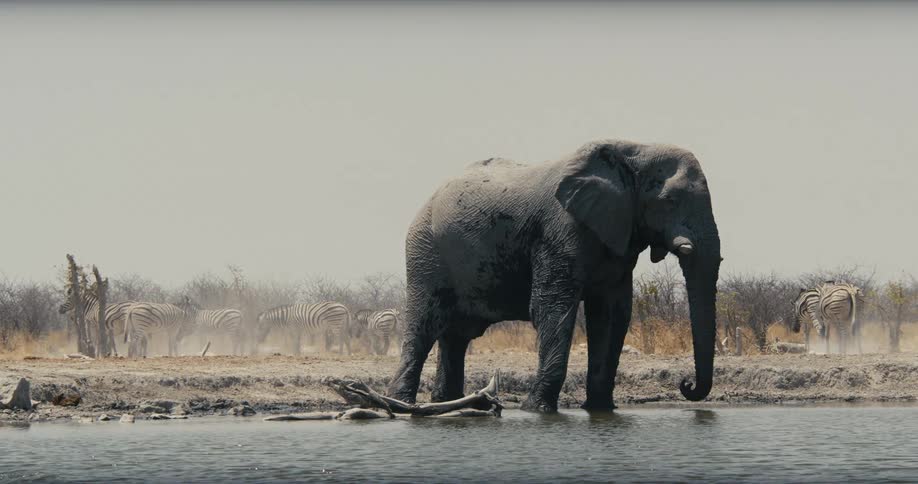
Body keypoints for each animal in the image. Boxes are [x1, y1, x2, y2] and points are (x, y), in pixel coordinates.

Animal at [387, 139, 722, 412]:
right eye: (670, 201)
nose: (686, 384)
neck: (633, 149)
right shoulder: (559, 229)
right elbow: (552, 308)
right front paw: (536, 409)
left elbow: (612, 315)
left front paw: (600, 410)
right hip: (425, 252)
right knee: (424, 328)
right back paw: (403, 404)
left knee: (455, 337)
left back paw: (448, 403)